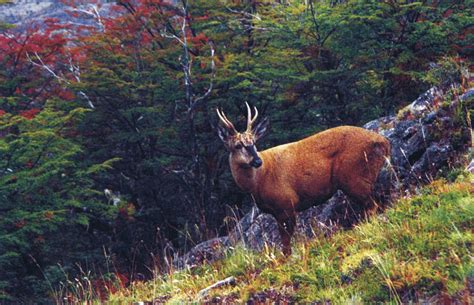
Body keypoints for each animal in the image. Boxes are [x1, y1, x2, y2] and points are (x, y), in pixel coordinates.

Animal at [217, 102, 390, 254]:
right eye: (238, 145)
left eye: (254, 142)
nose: (258, 161)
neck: (258, 182)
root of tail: (384, 142)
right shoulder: (277, 211)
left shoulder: (287, 202)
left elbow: (286, 243)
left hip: (354, 177)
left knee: (372, 206)